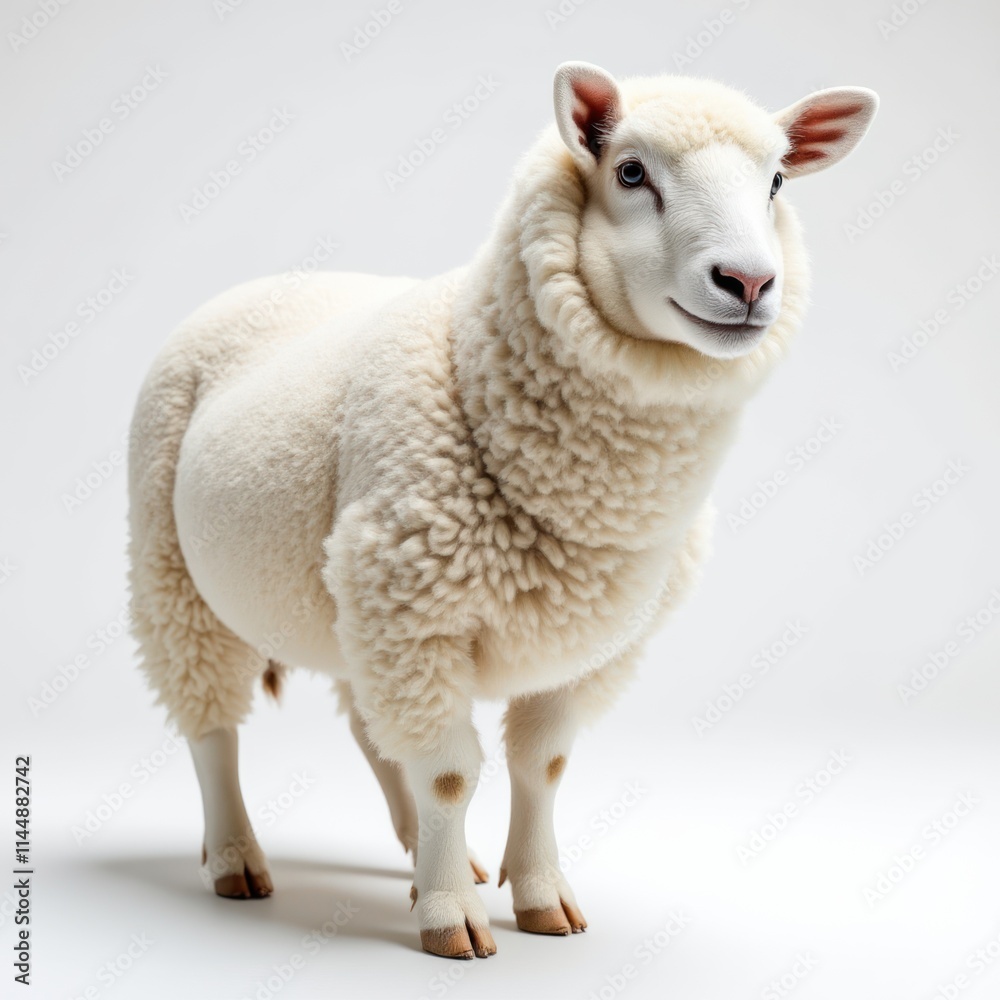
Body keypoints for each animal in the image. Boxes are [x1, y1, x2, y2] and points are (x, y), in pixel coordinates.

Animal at [127, 61, 877, 959]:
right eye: (631, 172)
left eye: (776, 183)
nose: (750, 282)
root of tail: (263, 285)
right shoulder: (417, 615)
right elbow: (453, 773)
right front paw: (452, 918)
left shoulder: (581, 640)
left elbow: (541, 767)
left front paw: (536, 894)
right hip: (174, 574)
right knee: (211, 727)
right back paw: (239, 858)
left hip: (349, 607)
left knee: (371, 729)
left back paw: (417, 855)